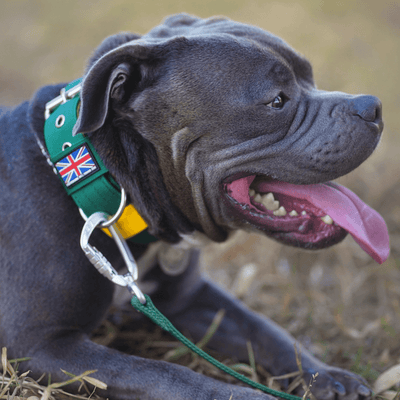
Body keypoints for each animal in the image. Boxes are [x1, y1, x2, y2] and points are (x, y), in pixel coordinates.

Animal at [0, 12, 388, 400]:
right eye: (277, 101)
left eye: (311, 77)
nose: (373, 106)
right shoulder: (41, 345)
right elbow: (163, 373)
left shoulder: (192, 299)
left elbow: (263, 329)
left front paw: (325, 374)